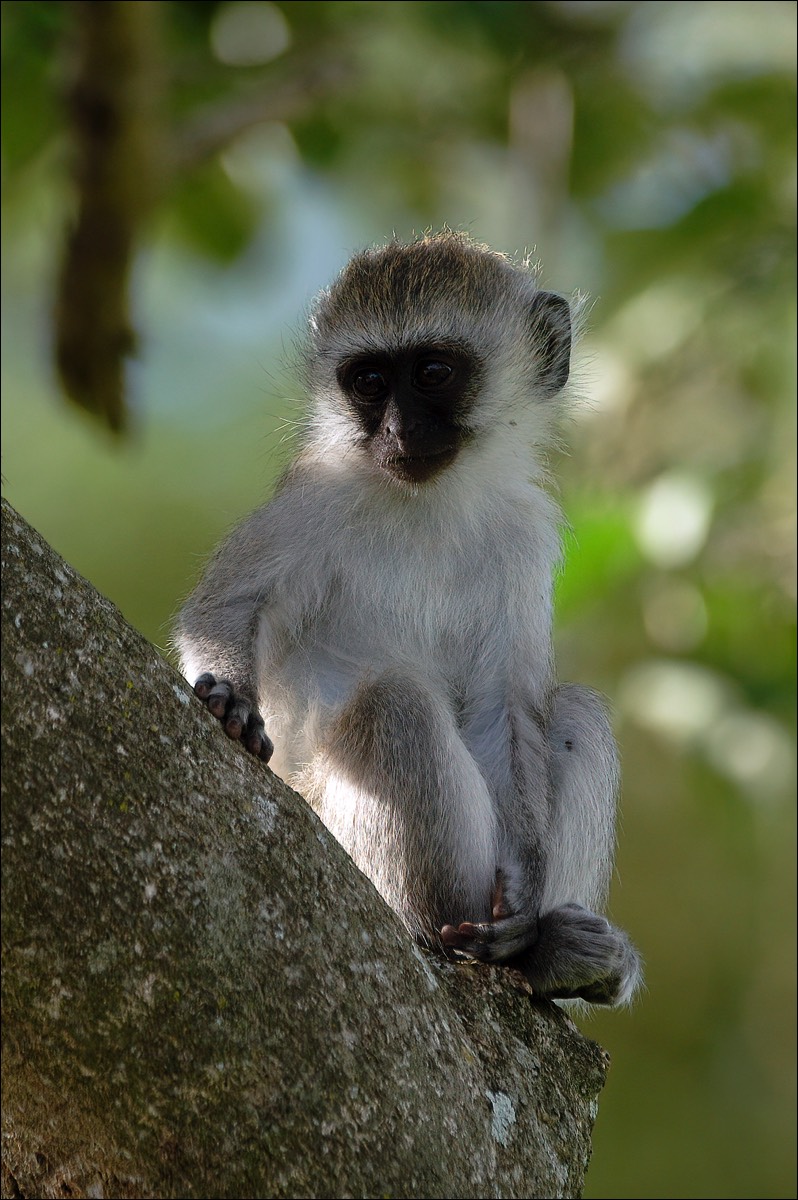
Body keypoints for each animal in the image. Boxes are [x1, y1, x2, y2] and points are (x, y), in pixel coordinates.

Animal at [176, 231, 643, 1003]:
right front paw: (232, 700)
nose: (396, 430)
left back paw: (543, 950)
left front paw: (524, 899)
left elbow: (503, 708)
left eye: (432, 372)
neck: (432, 502)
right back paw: (449, 928)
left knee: (573, 710)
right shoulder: (314, 497)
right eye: (368, 381)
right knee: (393, 705)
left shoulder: (523, 536)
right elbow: (225, 608)